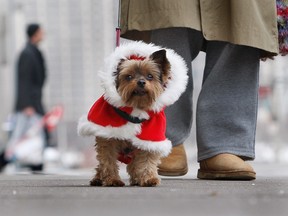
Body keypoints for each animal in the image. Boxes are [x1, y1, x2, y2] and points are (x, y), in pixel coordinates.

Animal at [77, 41, 188, 186]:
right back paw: (98, 179)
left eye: (150, 76)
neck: (136, 108)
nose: (141, 82)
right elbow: (108, 160)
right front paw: (112, 180)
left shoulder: (151, 137)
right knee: (102, 164)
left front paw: (149, 178)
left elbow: (146, 159)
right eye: (128, 76)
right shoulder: (108, 138)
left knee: (134, 164)